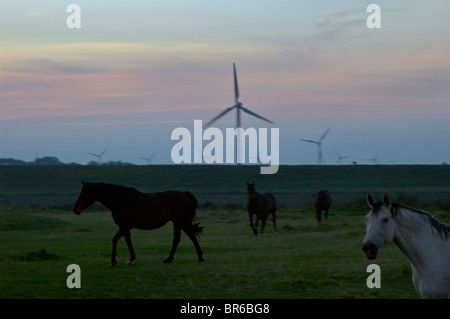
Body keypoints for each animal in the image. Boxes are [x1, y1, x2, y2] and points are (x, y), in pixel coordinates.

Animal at [73, 182, 204, 268]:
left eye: (84, 194)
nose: (75, 210)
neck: (120, 200)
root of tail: (185, 194)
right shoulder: (124, 227)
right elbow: (128, 241)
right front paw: (131, 259)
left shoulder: (125, 226)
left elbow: (115, 239)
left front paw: (113, 260)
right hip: (178, 222)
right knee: (184, 237)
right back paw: (172, 259)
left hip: (179, 221)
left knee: (185, 237)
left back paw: (198, 257)